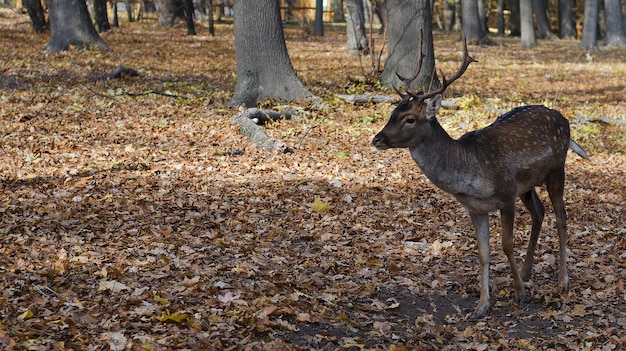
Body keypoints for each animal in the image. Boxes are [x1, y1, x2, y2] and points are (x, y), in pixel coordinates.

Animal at [372, 35, 588, 320]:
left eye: (409, 119)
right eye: (392, 113)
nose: (377, 139)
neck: (470, 174)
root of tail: (564, 119)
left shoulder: (506, 196)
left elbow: (506, 244)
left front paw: (519, 294)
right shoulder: (475, 208)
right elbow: (483, 252)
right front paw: (483, 304)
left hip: (556, 170)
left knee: (562, 218)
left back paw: (562, 281)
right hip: (527, 186)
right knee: (539, 212)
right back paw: (527, 271)